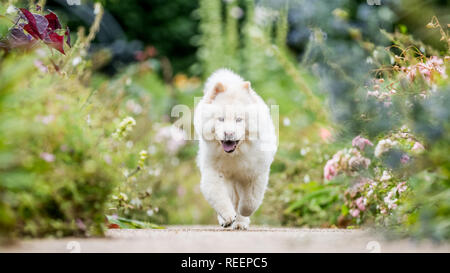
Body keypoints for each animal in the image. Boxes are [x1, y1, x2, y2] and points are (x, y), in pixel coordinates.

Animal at [194, 67, 278, 227]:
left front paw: (243, 213)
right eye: (221, 119)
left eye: (239, 120)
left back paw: (240, 222)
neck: (234, 155)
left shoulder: (255, 174)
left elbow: (250, 201)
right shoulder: (214, 172)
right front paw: (227, 217)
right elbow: (219, 196)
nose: (229, 133)